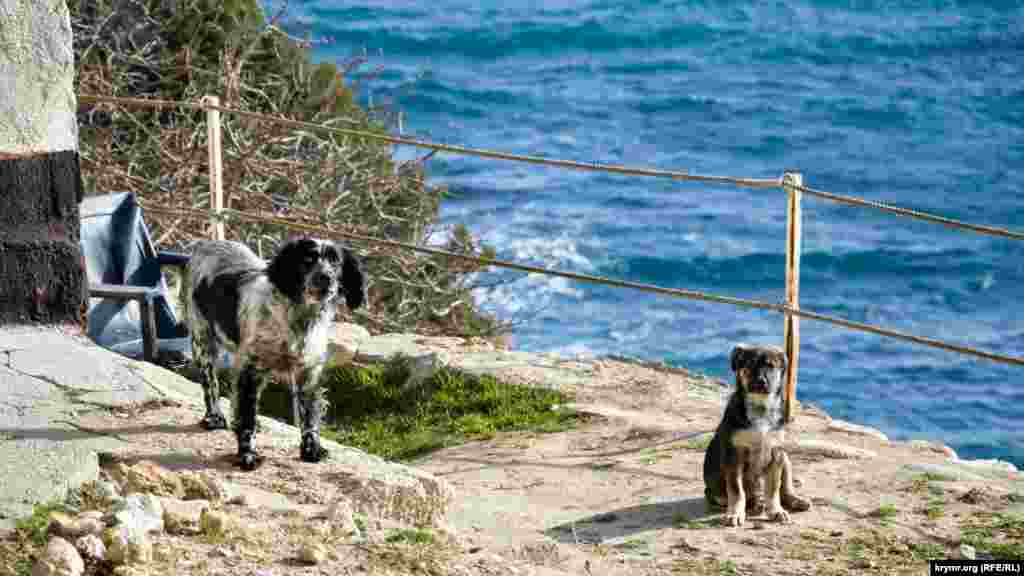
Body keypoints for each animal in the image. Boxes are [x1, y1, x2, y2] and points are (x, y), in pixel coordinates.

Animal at [704, 340, 806, 524]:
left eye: (771, 366)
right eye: (749, 364)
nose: (761, 381)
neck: (761, 407)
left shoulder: (776, 453)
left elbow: (773, 488)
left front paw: (776, 511)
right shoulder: (734, 456)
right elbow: (737, 491)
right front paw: (735, 514)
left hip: (785, 457)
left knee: (784, 487)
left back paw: (794, 500)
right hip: (715, 491)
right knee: (730, 497)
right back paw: (755, 504)